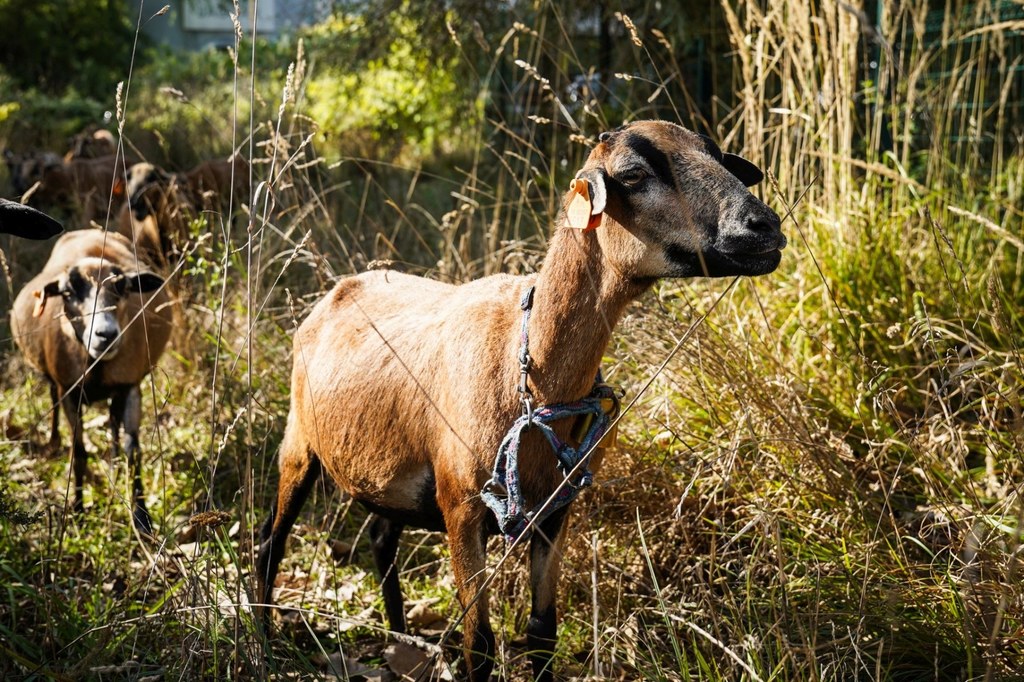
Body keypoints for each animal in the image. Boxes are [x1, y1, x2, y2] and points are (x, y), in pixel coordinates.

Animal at [9, 228, 172, 532]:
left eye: (123, 288)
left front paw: (142, 518)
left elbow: (134, 449)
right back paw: (53, 442)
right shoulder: (69, 393)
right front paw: (77, 509)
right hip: (55, 381)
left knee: (114, 421)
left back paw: (114, 460)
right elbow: (80, 451)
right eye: (67, 292)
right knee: (53, 399)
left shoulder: (130, 386)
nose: (106, 335)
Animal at [253, 119, 782, 675]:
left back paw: (400, 639)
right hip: (299, 443)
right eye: (634, 174)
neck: (525, 365)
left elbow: (541, 633)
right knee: (270, 542)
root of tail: (341, 287)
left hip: (390, 469)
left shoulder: (555, 512)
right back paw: (266, 644)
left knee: (380, 539)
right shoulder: (462, 507)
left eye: (718, 156)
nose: (764, 227)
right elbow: (479, 646)